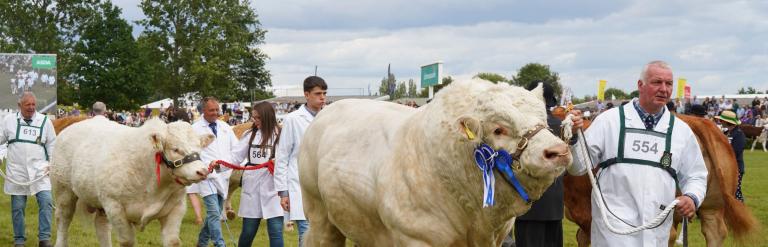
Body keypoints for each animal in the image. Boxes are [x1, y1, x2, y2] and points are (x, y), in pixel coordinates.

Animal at [51, 118, 213, 247]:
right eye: (176, 149)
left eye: (200, 147)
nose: (202, 171)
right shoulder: (115, 206)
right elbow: (127, 241)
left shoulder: (177, 208)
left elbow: (173, 241)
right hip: (64, 191)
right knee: (63, 220)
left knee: (102, 227)